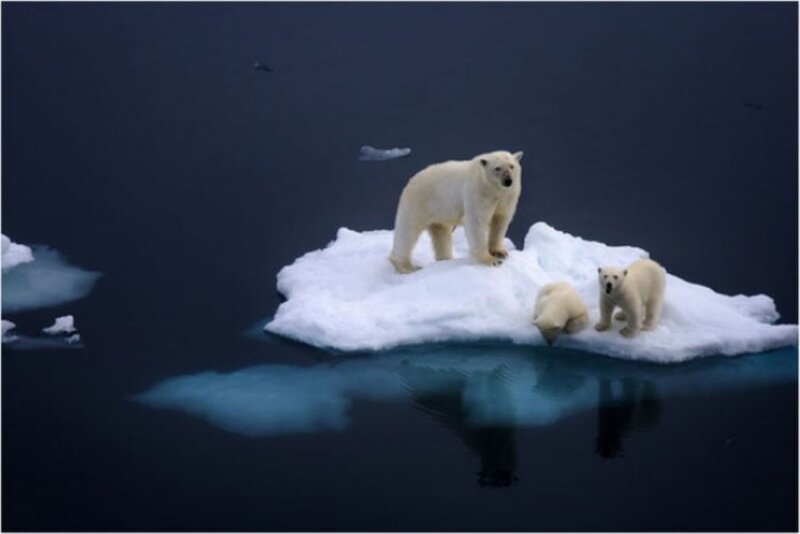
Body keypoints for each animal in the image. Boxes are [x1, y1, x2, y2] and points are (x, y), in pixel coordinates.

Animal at [389, 150, 523, 273]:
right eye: (497, 168)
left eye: (511, 166)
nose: (508, 181)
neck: (494, 190)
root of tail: (411, 180)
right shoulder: (477, 192)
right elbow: (476, 222)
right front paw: (491, 260)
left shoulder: (507, 197)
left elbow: (500, 220)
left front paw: (500, 252)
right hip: (418, 202)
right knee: (407, 231)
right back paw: (407, 266)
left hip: (439, 211)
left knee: (441, 234)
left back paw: (446, 259)